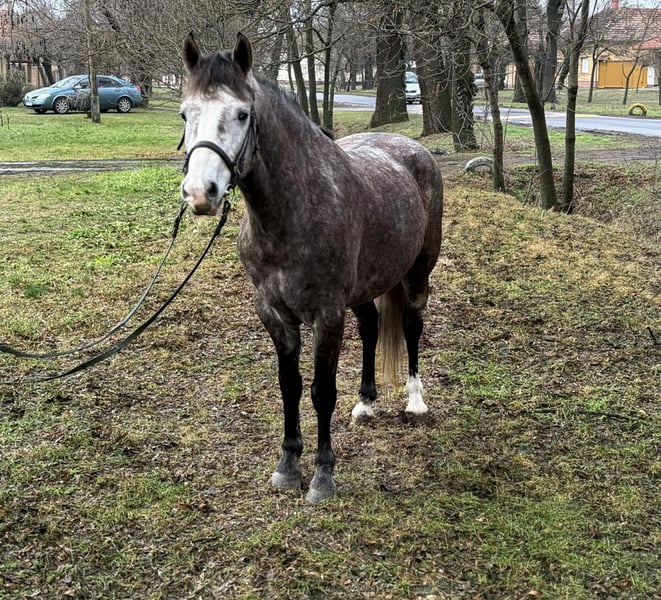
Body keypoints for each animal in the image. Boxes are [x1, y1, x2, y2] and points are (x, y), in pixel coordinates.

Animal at [180, 33, 444, 503]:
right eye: (185, 113)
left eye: (243, 114)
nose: (199, 192)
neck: (295, 211)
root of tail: (414, 150)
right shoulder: (275, 313)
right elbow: (290, 386)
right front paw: (287, 466)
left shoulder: (326, 314)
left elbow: (322, 392)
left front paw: (323, 476)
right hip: (364, 289)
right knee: (372, 326)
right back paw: (365, 403)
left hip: (416, 275)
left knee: (412, 328)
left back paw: (415, 401)